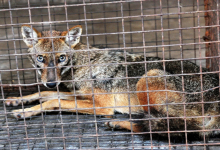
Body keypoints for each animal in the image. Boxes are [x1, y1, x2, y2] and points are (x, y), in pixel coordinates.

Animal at [4, 24, 220, 137]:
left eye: (61, 58)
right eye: (41, 59)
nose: (50, 81)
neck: (84, 64)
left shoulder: (103, 106)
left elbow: (53, 100)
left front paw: (25, 111)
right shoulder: (79, 94)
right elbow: (45, 94)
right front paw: (18, 101)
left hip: (148, 78)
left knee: (165, 127)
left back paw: (119, 123)